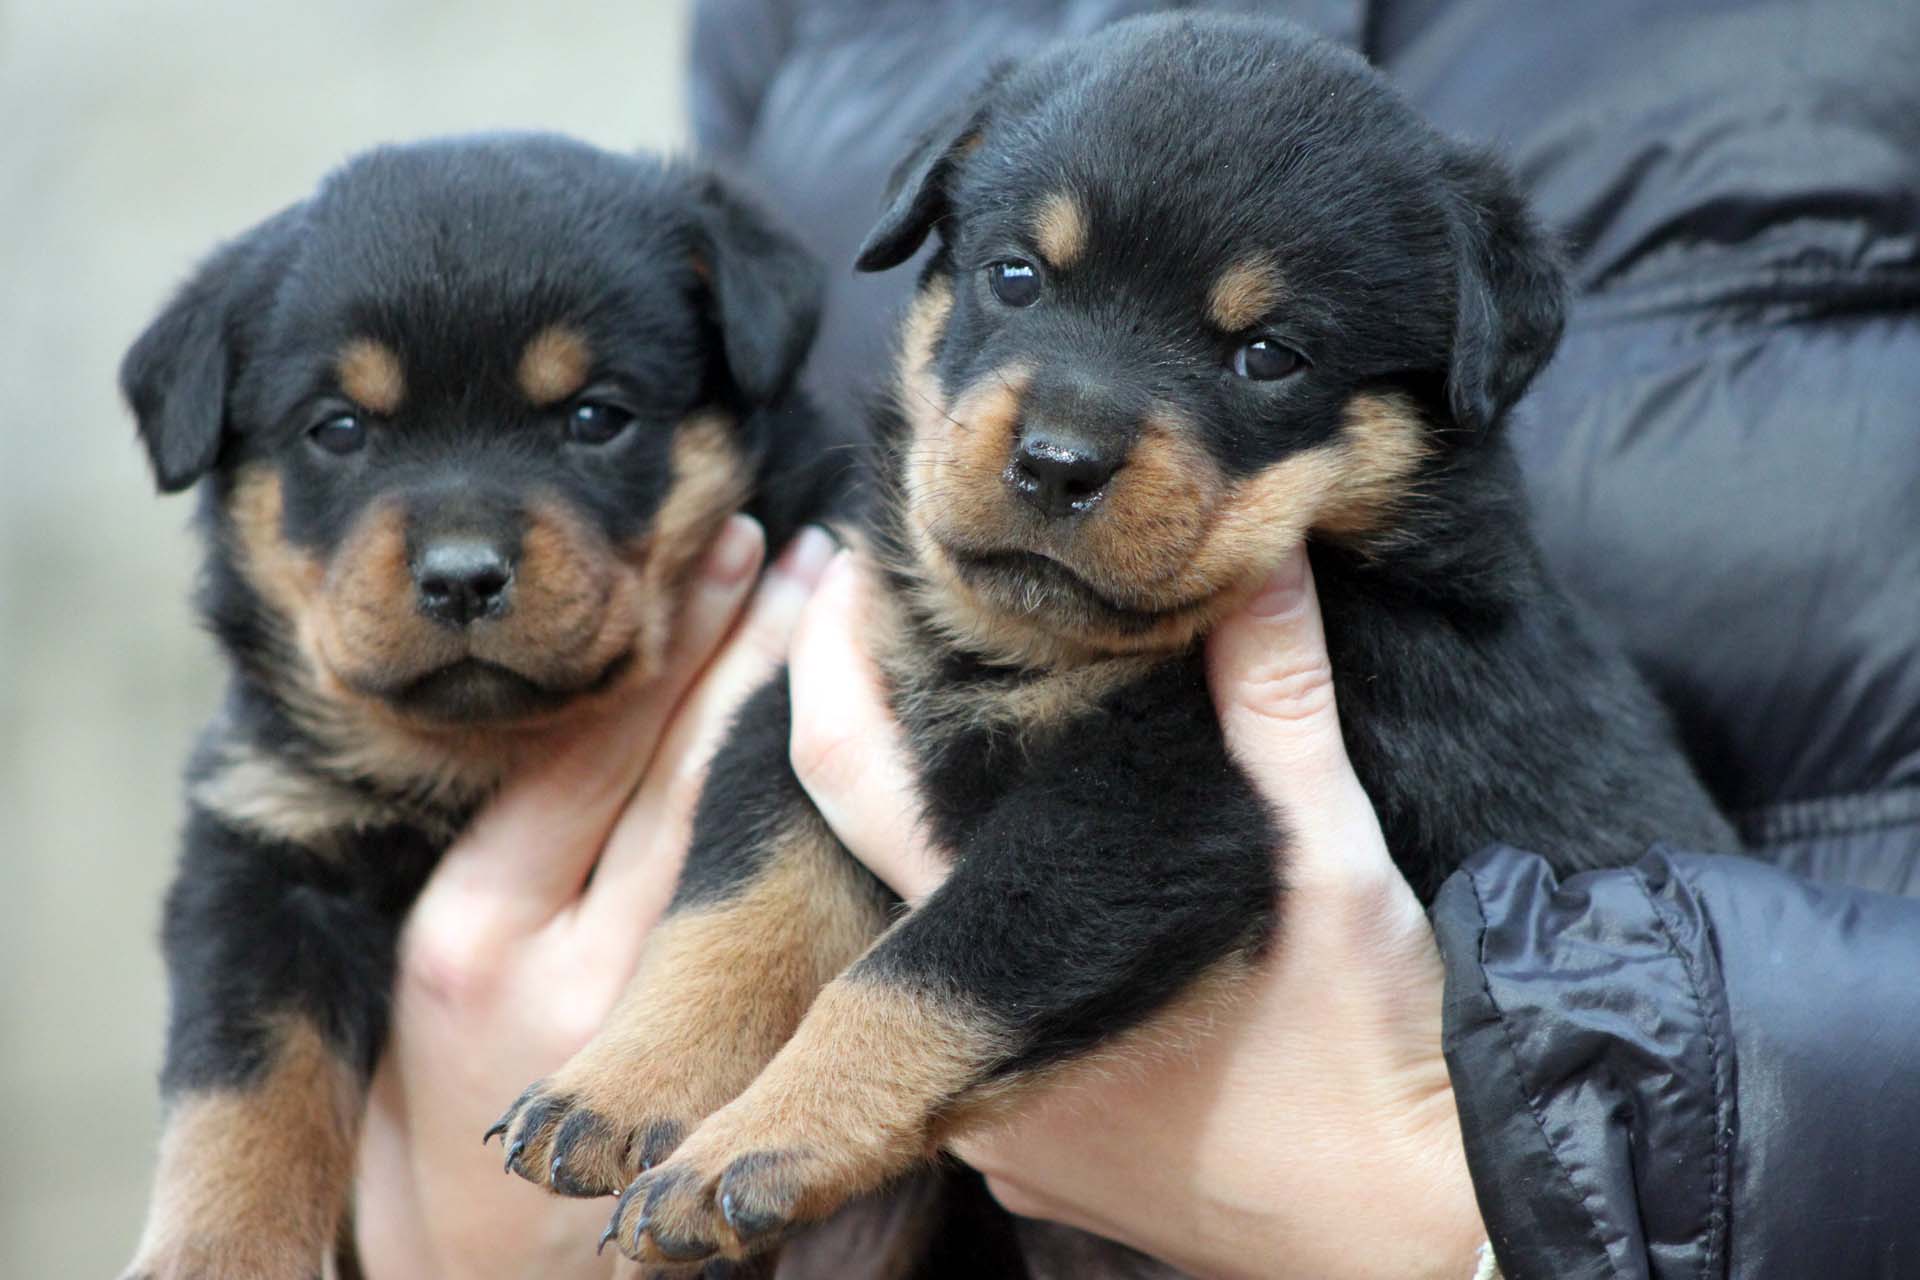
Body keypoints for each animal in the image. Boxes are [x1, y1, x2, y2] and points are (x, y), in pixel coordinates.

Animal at [118, 133, 840, 1279]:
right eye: (338, 428)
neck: (477, 751)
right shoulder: (268, 844)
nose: (462, 576)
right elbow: (245, 1080)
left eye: (595, 416)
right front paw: (218, 1250)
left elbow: (763, 904)